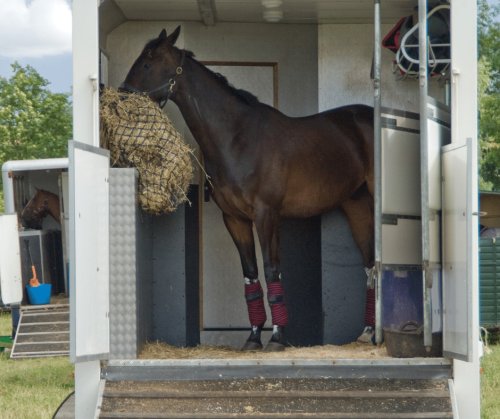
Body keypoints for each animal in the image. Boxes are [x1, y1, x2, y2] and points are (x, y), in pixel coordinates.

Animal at [122, 27, 376, 352]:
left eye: (147, 62)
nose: (122, 95)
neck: (238, 138)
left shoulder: (266, 216)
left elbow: (271, 270)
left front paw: (278, 337)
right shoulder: (235, 219)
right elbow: (251, 276)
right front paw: (254, 337)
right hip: (356, 205)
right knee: (370, 263)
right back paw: (367, 332)